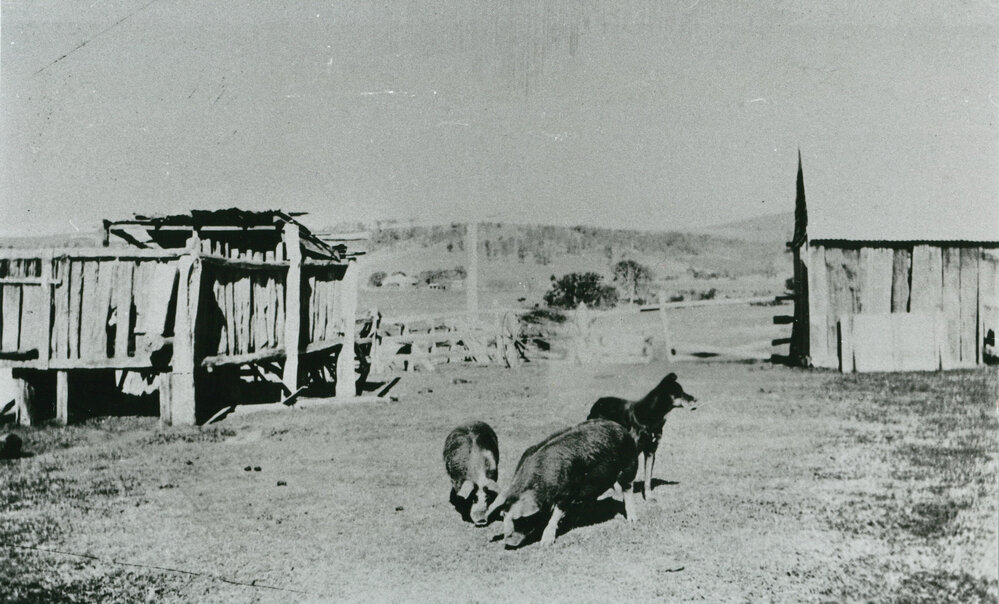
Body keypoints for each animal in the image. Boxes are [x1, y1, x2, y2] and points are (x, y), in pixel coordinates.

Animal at [484, 419, 638, 548]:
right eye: (504, 516)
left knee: (628, 489)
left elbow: (555, 516)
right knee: (591, 498)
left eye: (521, 520)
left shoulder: (567, 493)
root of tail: (622, 428)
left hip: (629, 465)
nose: (508, 543)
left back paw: (632, 520)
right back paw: (577, 519)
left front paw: (545, 543)